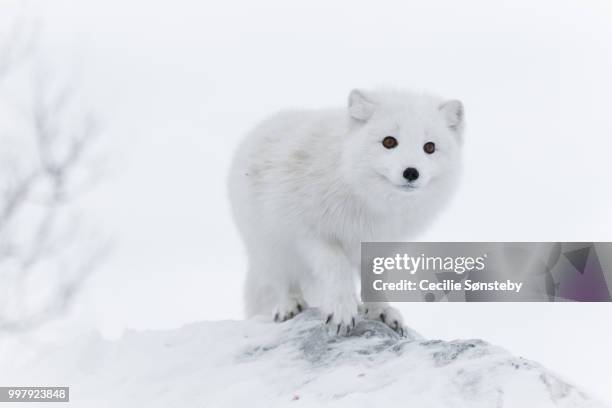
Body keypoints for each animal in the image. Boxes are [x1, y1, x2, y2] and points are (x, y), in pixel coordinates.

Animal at [230, 88, 464, 334]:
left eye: (429, 147)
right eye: (389, 141)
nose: (411, 172)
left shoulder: (378, 246)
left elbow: (374, 281)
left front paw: (380, 311)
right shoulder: (310, 233)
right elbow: (337, 268)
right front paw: (341, 310)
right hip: (271, 244)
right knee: (284, 279)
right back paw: (289, 305)